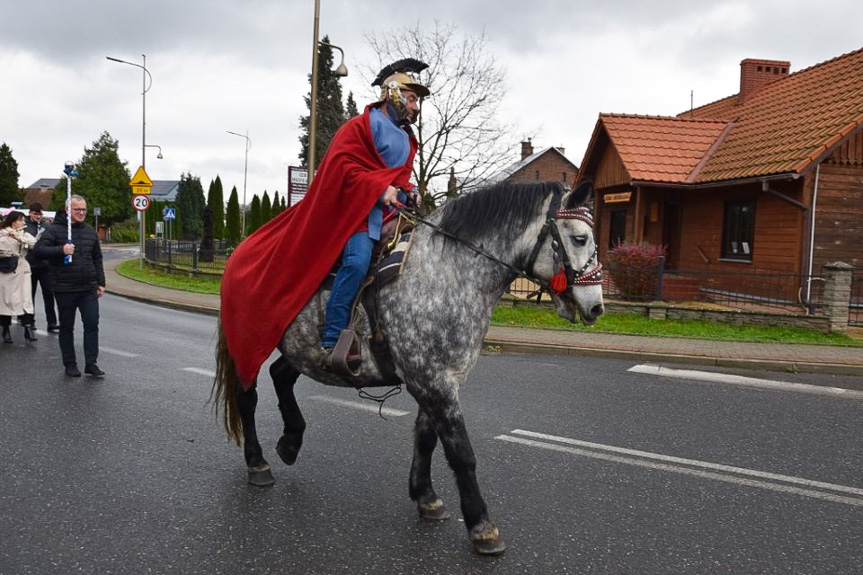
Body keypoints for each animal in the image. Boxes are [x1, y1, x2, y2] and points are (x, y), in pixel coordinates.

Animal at [213, 180, 604, 552]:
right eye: (579, 238)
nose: (597, 307)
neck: (447, 275)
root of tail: (241, 252)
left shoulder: (437, 379)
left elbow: (427, 438)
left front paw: (426, 496)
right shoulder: (432, 381)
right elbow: (461, 452)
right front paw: (481, 525)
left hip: (298, 346)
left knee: (281, 376)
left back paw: (291, 442)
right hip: (250, 344)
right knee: (247, 398)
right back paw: (258, 463)